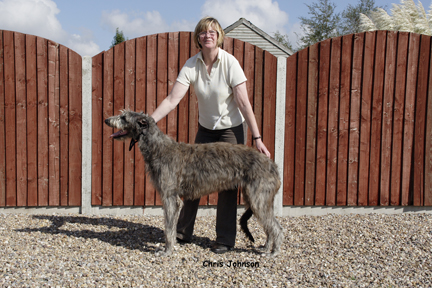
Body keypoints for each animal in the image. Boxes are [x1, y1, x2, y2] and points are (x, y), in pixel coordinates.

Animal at [104, 110, 284, 256]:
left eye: (124, 117)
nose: (106, 120)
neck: (158, 148)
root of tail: (273, 165)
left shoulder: (170, 197)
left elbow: (168, 228)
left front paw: (167, 250)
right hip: (256, 198)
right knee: (269, 225)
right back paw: (266, 247)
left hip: (258, 197)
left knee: (277, 227)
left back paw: (274, 252)